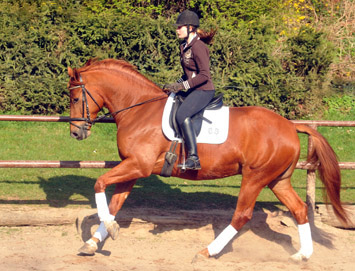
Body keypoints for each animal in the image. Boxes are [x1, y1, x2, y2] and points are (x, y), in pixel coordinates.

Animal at [67, 59, 350, 262]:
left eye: (75, 98)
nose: (76, 133)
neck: (139, 109)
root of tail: (291, 126)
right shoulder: (132, 168)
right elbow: (115, 203)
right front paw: (93, 242)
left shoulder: (139, 165)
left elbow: (99, 184)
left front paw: (107, 230)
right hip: (277, 180)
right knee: (299, 210)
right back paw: (303, 255)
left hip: (255, 177)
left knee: (242, 215)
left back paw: (207, 251)